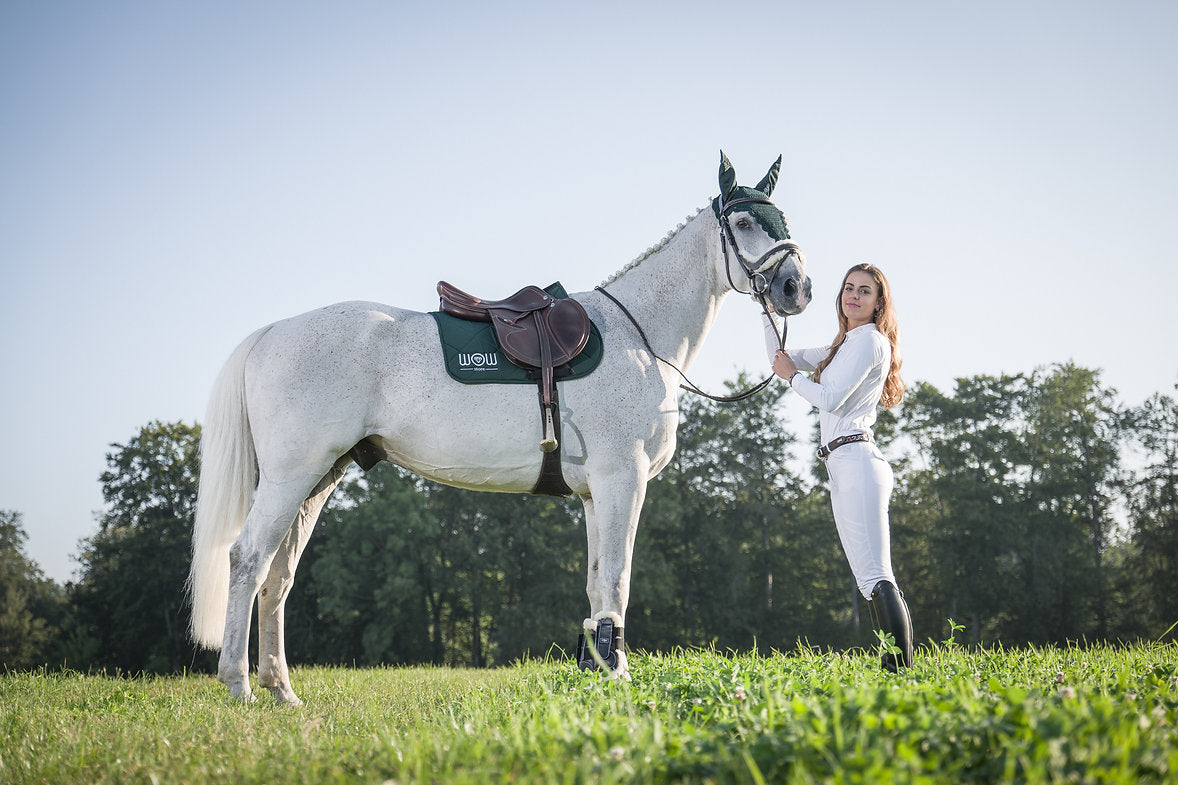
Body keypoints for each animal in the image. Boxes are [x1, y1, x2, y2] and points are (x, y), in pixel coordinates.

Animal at [187, 152, 813, 703]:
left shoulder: (595, 493)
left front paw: (595, 672)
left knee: (278, 577)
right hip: (292, 477)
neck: (641, 337)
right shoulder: (622, 481)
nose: (797, 289)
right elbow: (617, 580)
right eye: (743, 222)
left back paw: (282, 691)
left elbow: (595, 582)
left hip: (319, 480)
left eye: (784, 218)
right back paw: (239, 686)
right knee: (247, 561)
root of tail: (273, 331)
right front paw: (618, 677)